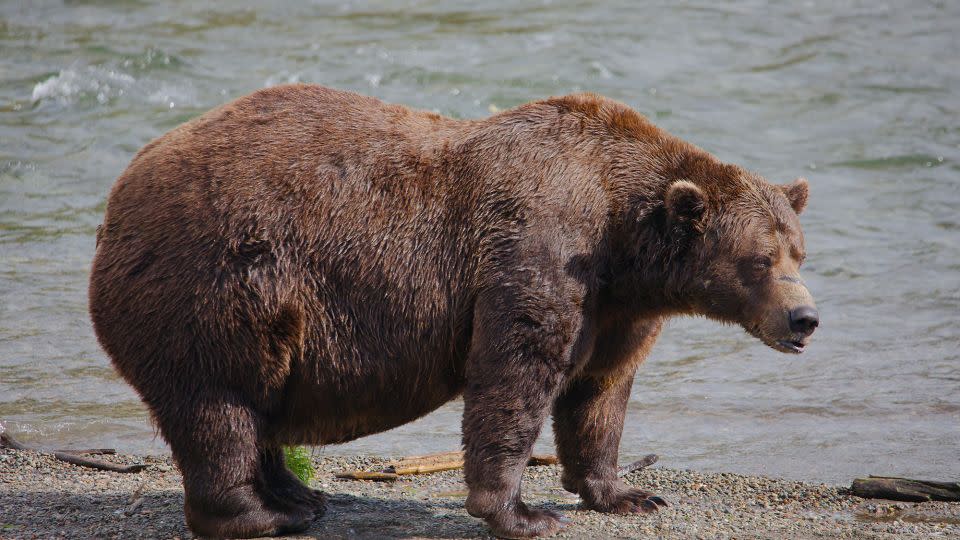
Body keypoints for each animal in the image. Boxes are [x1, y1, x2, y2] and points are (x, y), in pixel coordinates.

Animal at [88, 84, 816, 536]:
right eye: (760, 259)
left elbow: (600, 393)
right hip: (218, 281)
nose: (804, 319)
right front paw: (522, 513)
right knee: (221, 405)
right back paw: (262, 514)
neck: (623, 239)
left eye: (799, 252)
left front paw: (628, 493)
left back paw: (299, 495)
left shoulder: (615, 308)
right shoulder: (539, 249)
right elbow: (515, 373)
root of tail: (116, 200)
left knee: (256, 406)